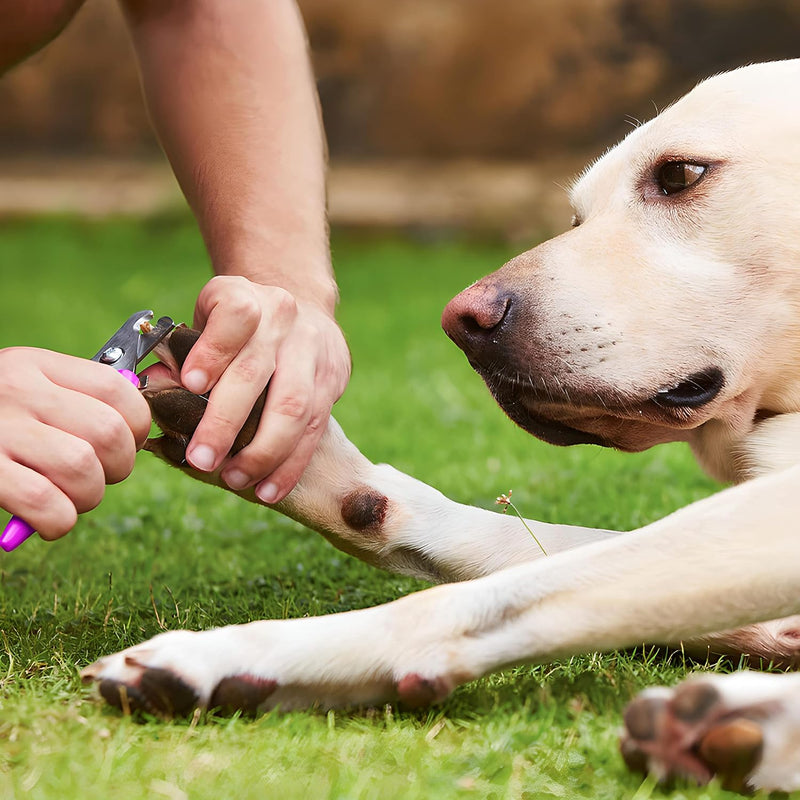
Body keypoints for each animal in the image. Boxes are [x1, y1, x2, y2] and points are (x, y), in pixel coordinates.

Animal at [81, 59, 800, 792]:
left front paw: (234, 652)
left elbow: (488, 598)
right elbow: (513, 550)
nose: (465, 322)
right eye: (577, 215)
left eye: (680, 174)